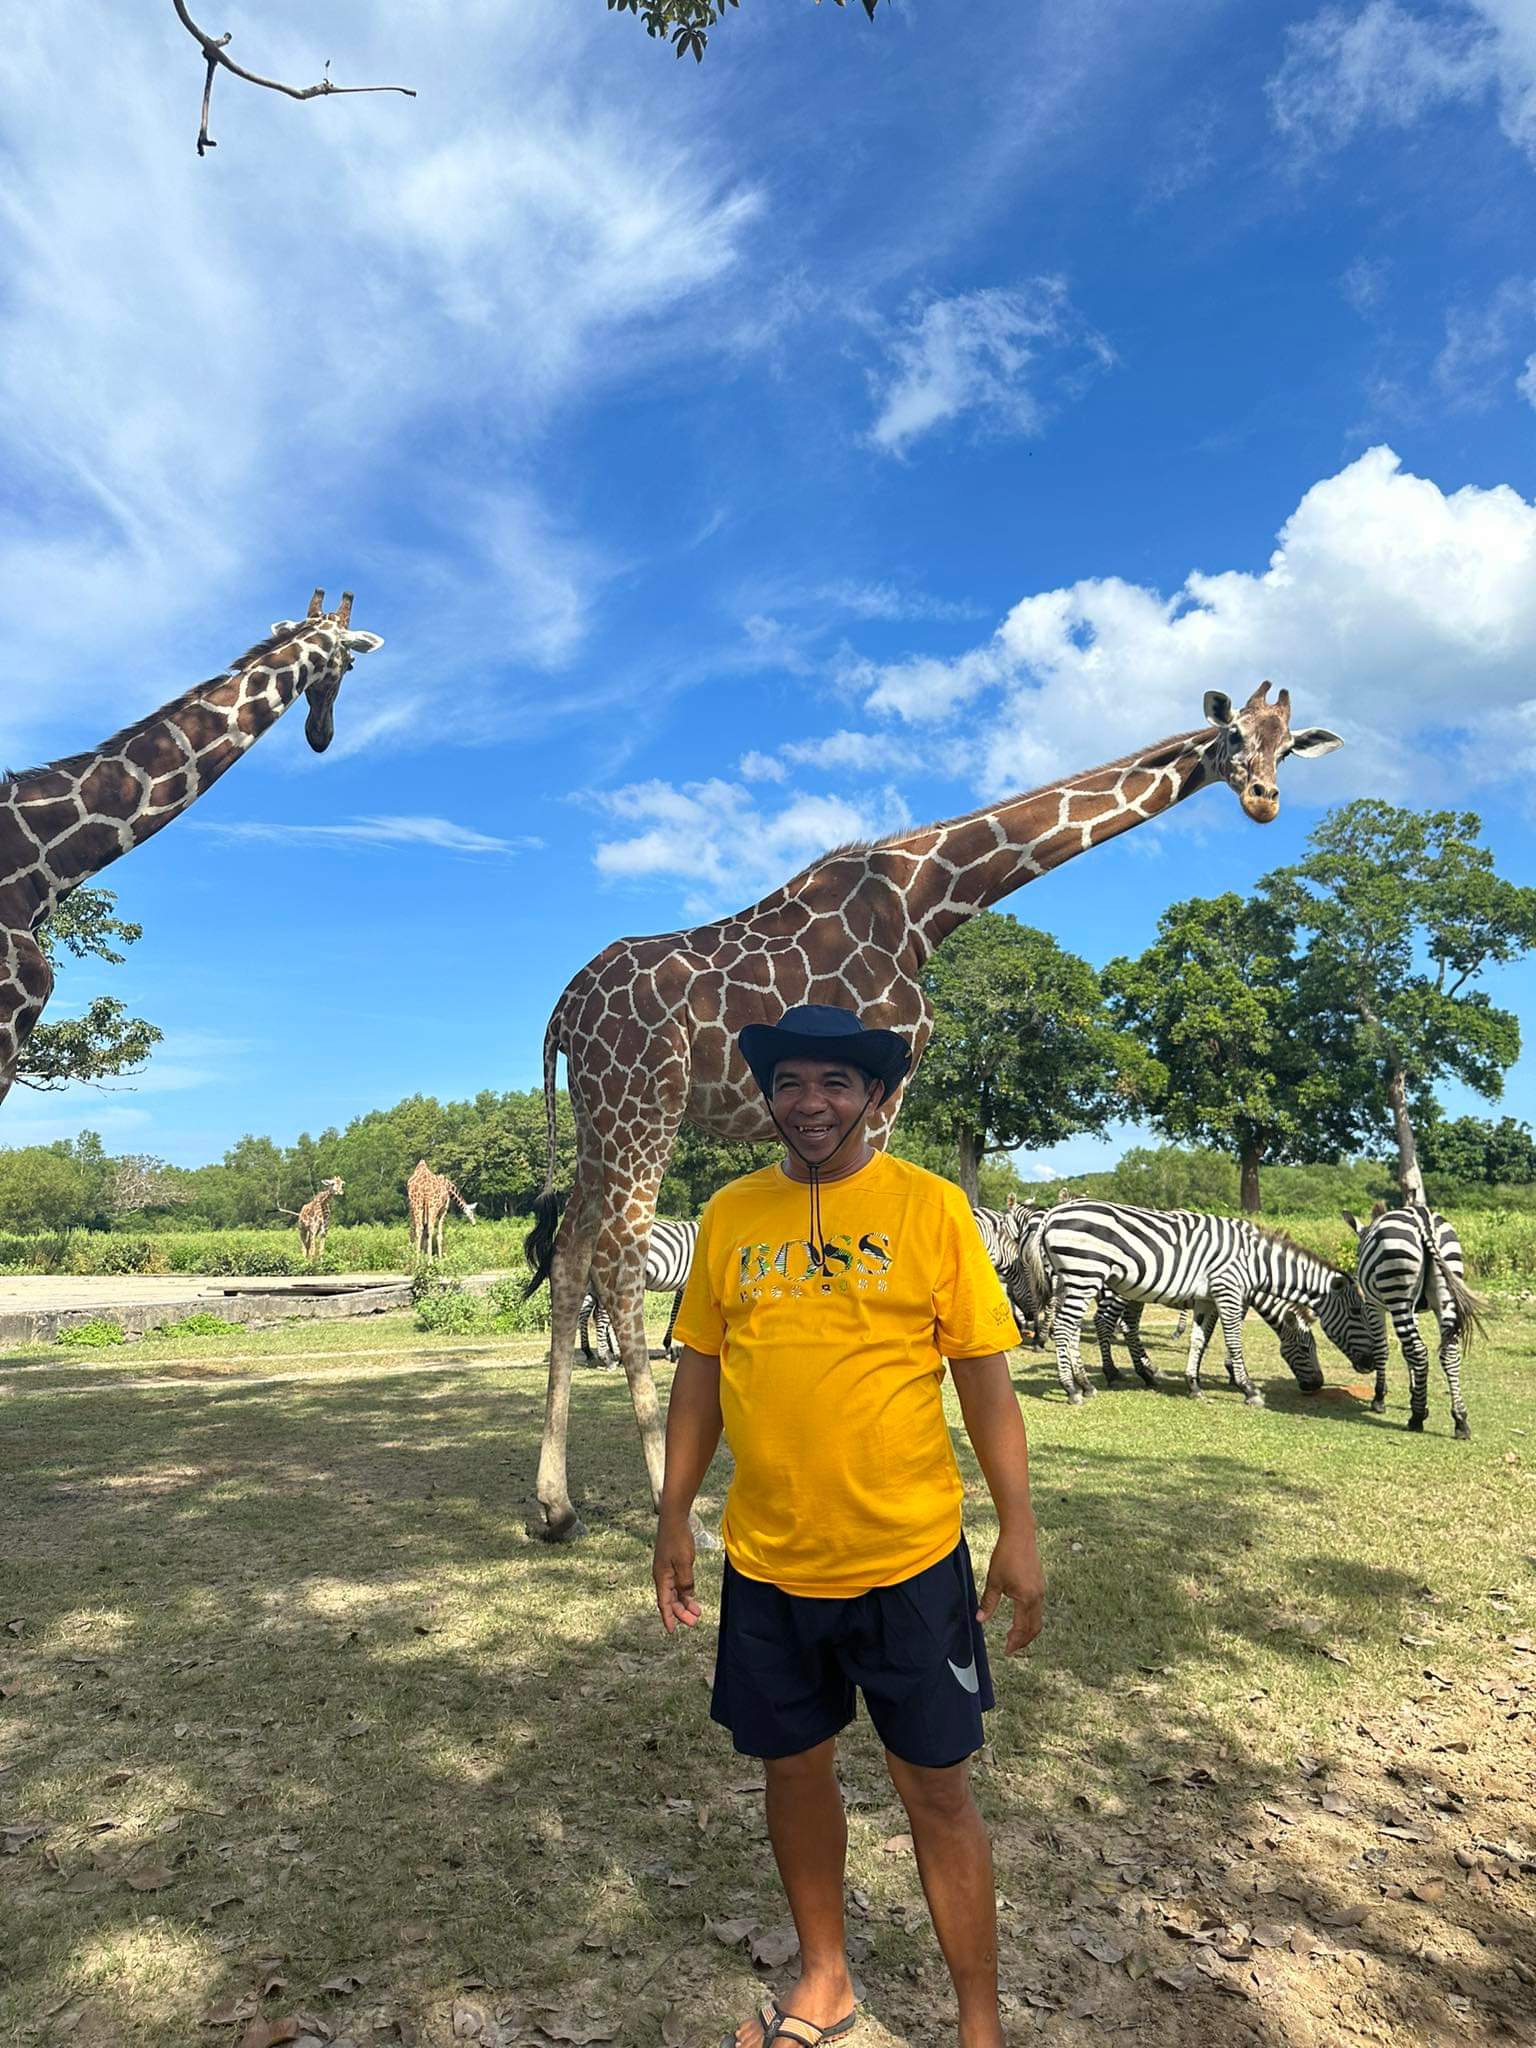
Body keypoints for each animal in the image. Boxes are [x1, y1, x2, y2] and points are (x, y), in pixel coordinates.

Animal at [578, 1218, 698, 1367]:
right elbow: (678, 1314)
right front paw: (673, 1349)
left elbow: (675, 1313)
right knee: (599, 1314)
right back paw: (607, 1358)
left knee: (587, 1311)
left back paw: (599, 1352)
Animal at [1032, 1200, 1377, 1407]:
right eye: (1306, 1348)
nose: (1316, 1384)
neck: (1257, 1263)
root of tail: (1053, 1213)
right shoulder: (1230, 1291)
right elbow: (1233, 1340)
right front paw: (1246, 1387)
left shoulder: (1206, 1299)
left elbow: (1200, 1340)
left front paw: (1194, 1385)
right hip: (1088, 1275)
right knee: (1071, 1327)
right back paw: (1076, 1387)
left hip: (1076, 1280)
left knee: (1077, 1328)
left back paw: (1090, 1382)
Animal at [1343, 1203, 1481, 1439]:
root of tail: (1424, 1221)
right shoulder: (1414, 1309)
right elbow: (1405, 1351)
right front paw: (1414, 1391)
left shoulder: (1373, 1305)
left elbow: (1383, 1349)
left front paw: (1380, 1398)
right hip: (1446, 1288)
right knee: (1447, 1352)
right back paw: (1460, 1420)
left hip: (1397, 1287)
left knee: (1419, 1350)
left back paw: (1416, 1417)